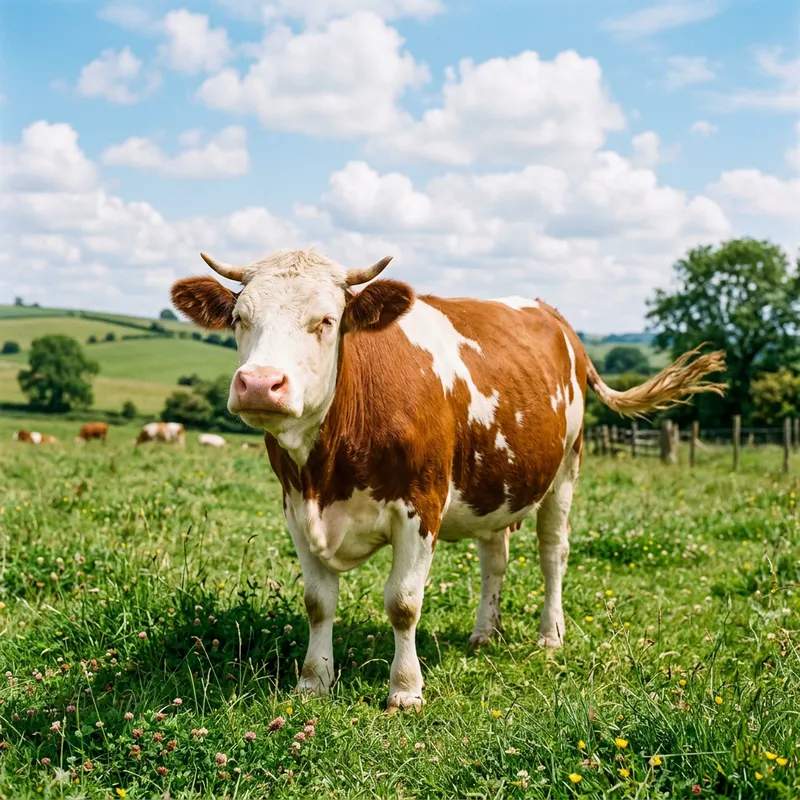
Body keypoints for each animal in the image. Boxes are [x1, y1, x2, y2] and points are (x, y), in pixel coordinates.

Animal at [171, 248, 726, 713]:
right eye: (240, 319)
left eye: (326, 320)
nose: (259, 384)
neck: (327, 468)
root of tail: (555, 318)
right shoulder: (295, 507)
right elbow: (317, 602)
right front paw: (313, 681)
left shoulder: (421, 504)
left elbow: (403, 602)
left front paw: (405, 690)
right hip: (496, 484)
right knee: (494, 559)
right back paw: (485, 632)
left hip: (566, 468)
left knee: (553, 552)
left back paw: (549, 635)